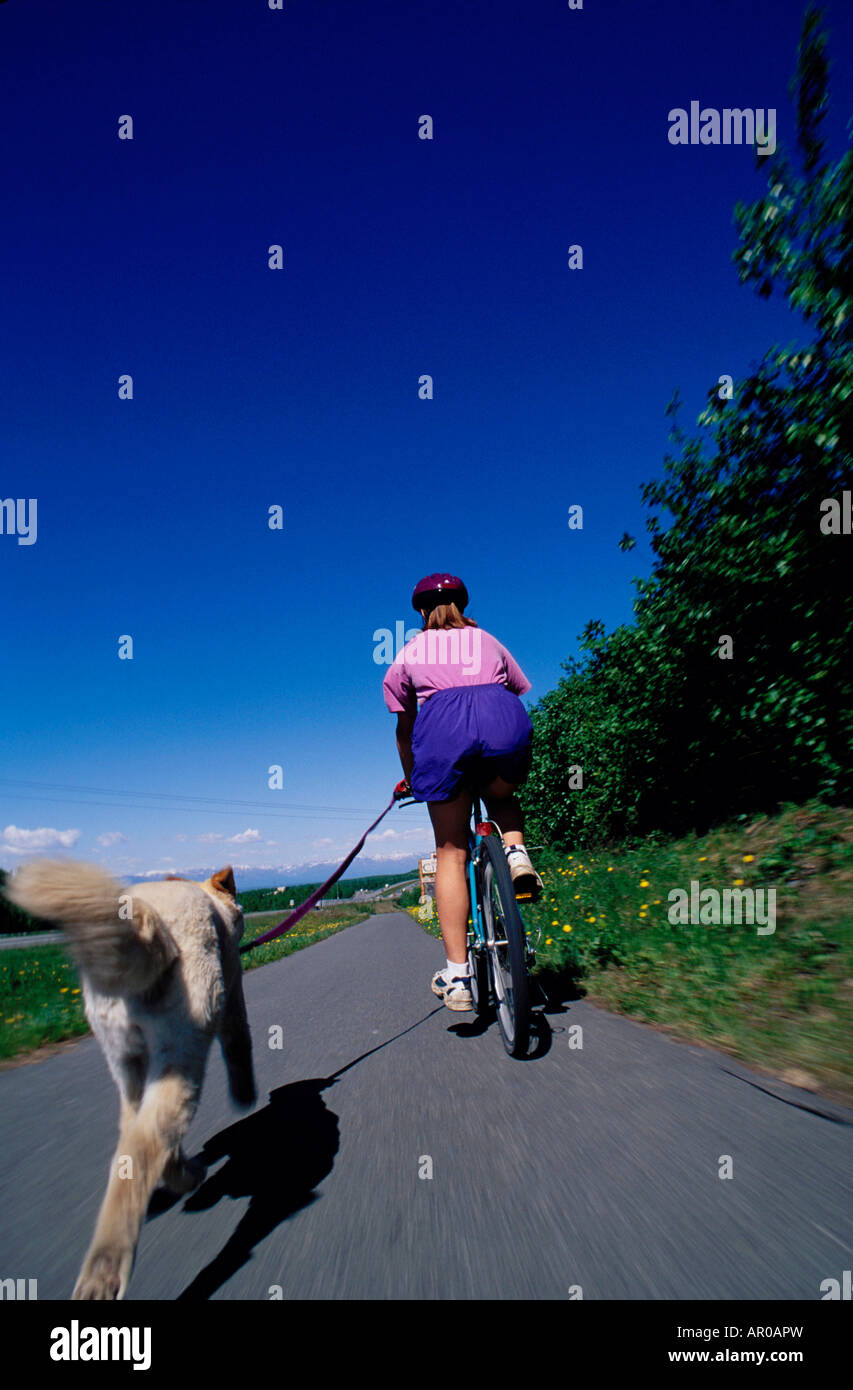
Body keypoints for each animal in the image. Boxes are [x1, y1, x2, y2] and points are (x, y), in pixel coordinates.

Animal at [4, 856, 257, 1301]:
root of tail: (148, 926)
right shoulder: (233, 991)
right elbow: (239, 1044)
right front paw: (246, 1095)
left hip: (126, 1060)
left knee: (134, 1133)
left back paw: (183, 1176)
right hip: (183, 1051)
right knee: (146, 1145)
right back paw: (105, 1271)